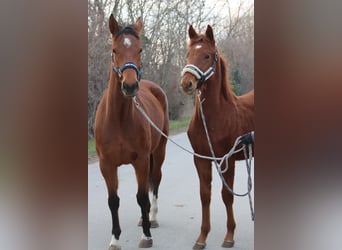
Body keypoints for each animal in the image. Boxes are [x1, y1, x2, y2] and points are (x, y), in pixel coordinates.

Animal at [94, 15, 169, 248]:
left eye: (140, 49)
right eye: (115, 49)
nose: (129, 86)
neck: (119, 119)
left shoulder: (142, 161)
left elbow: (142, 197)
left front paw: (146, 236)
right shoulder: (106, 165)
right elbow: (113, 201)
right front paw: (115, 239)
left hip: (159, 152)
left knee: (156, 182)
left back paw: (151, 218)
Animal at [180, 24, 252, 249]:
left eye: (207, 55)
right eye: (187, 55)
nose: (187, 84)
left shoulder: (227, 160)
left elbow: (227, 195)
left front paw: (229, 235)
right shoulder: (201, 159)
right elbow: (205, 195)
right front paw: (202, 237)